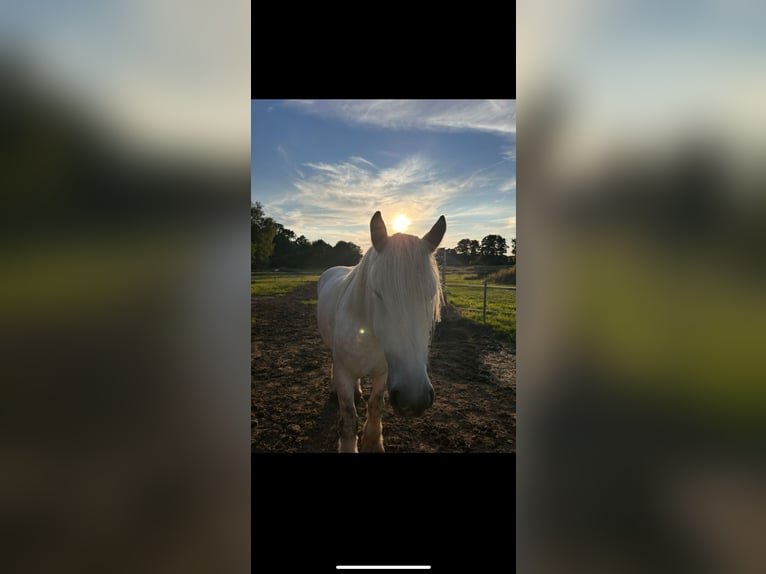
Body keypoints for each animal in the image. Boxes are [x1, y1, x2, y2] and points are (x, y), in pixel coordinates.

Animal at [317, 211, 446, 452]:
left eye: (431, 294)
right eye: (377, 293)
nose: (414, 398)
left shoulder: (384, 374)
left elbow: (375, 405)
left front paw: (373, 442)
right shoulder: (344, 373)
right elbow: (348, 417)